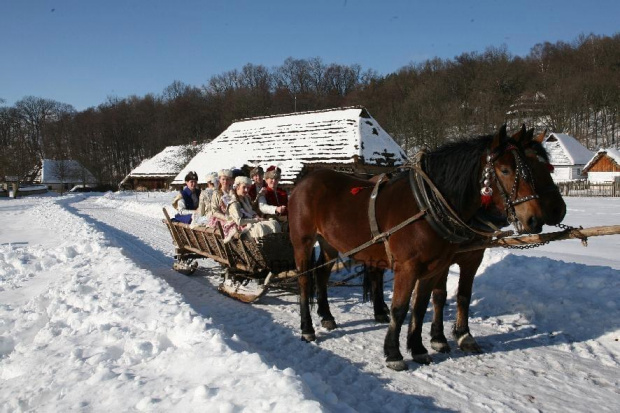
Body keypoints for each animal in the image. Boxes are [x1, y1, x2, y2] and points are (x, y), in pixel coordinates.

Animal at [290, 124, 544, 368]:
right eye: (505, 170)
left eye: (530, 170)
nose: (535, 219)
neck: (427, 206)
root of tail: (304, 182)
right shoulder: (408, 268)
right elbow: (400, 308)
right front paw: (394, 353)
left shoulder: (434, 267)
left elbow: (421, 306)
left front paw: (419, 348)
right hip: (303, 242)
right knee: (305, 280)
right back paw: (307, 328)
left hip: (329, 243)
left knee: (322, 274)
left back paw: (326, 316)